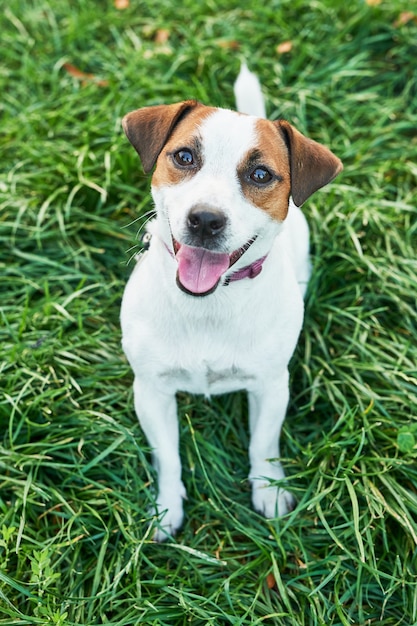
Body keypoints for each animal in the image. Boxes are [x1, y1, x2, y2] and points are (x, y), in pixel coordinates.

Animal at [120, 64, 342, 540]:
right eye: (184, 157)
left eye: (260, 175)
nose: (205, 220)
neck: (209, 303)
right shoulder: (151, 390)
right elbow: (168, 457)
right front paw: (166, 508)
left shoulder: (271, 386)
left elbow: (263, 443)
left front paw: (269, 491)